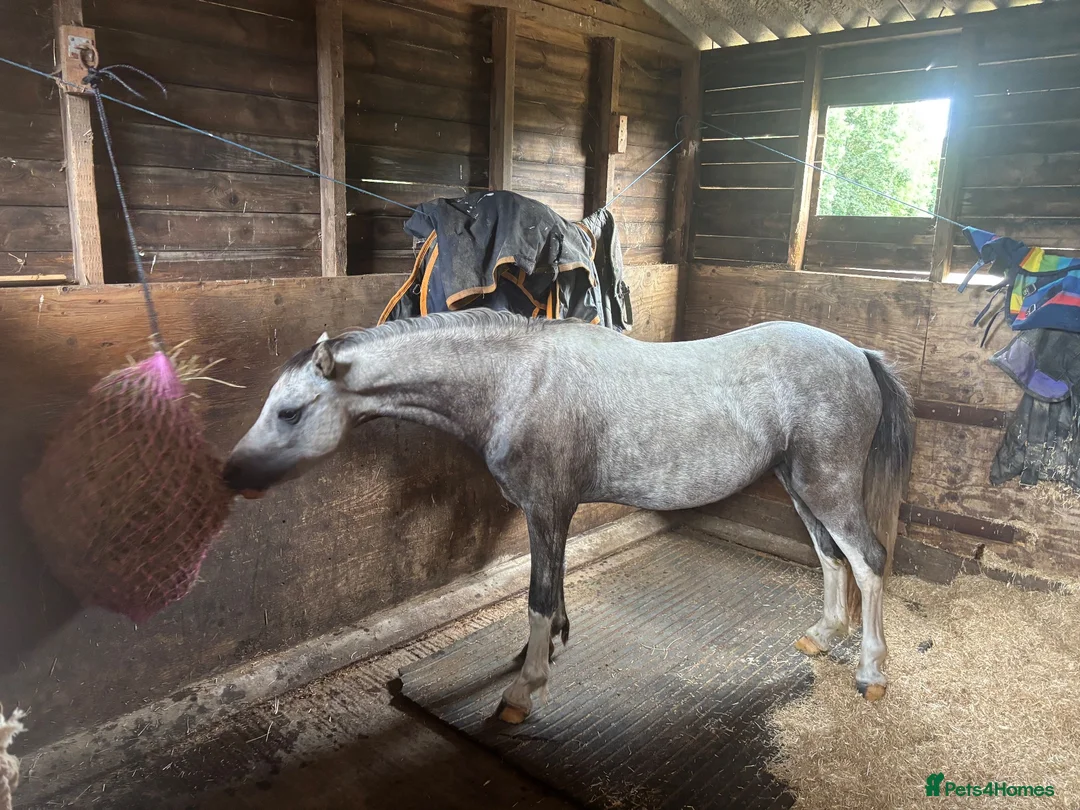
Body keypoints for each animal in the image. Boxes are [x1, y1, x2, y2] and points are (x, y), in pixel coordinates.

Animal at [224, 310, 914, 723]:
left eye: (289, 411)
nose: (231, 474)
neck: (515, 382)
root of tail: (858, 353)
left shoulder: (546, 508)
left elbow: (536, 595)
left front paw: (522, 691)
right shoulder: (551, 514)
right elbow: (551, 593)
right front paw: (547, 650)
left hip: (826, 485)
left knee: (867, 559)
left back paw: (872, 672)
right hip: (799, 485)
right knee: (830, 555)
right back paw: (822, 635)